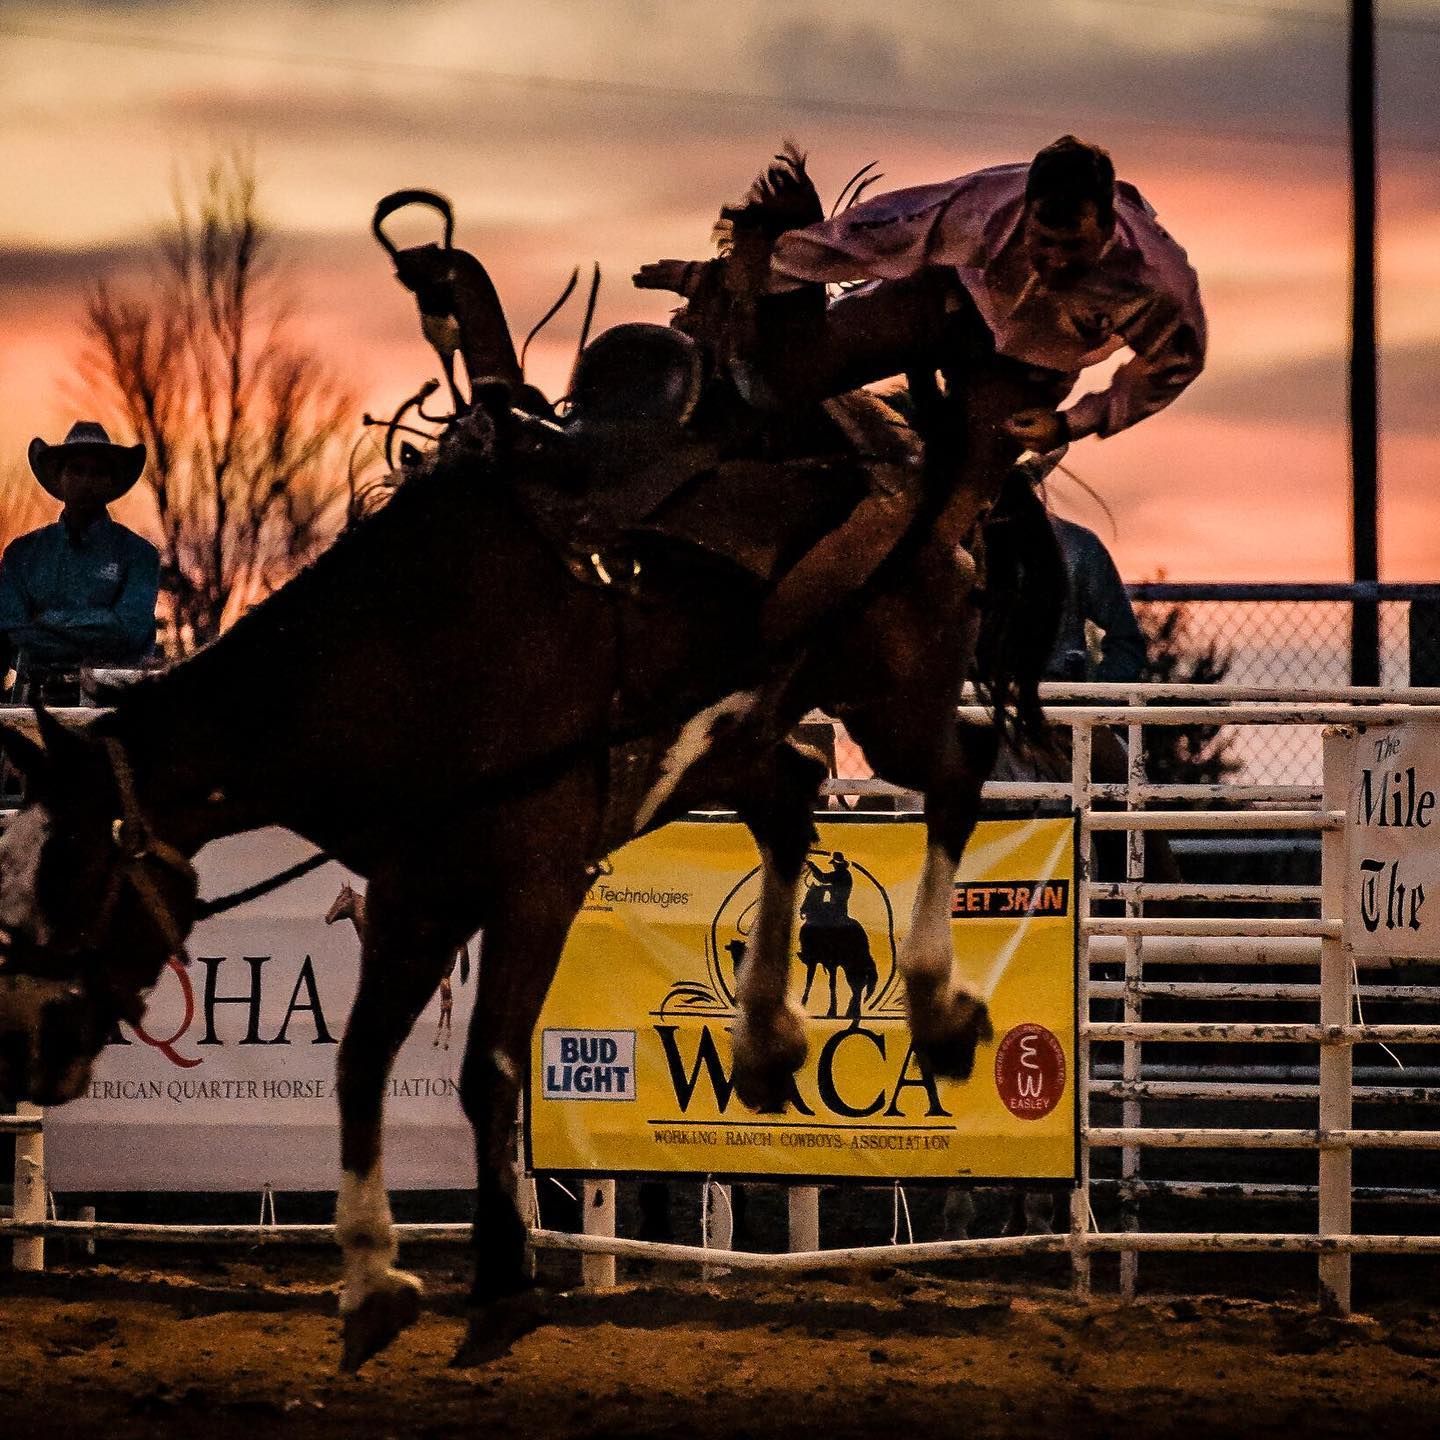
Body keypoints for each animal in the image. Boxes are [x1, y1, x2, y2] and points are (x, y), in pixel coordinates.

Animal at [0, 151, 1065, 1365]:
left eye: (73, 868)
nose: (21, 1046)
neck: (401, 656)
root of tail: (908, 437)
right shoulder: (413, 891)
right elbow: (359, 1063)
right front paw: (373, 1285)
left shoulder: (534, 881)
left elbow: (486, 1071)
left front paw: (502, 1284)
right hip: (737, 737)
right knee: (795, 802)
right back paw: (764, 1041)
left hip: (890, 690)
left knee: (956, 772)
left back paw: (936, 1008)